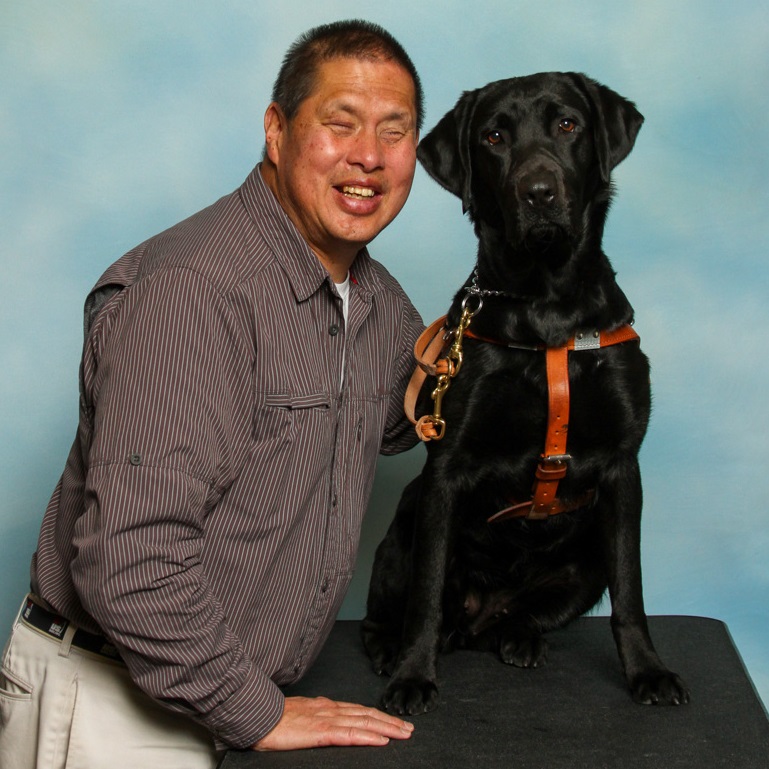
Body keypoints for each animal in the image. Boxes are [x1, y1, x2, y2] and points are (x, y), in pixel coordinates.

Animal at [362, 72, 688, 712]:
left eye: (568, 124)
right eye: (493, 137)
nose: (538, 193)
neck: (547, 304)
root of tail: (476, 616)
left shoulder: (623, 467)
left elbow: (632, 593)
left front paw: (648, 670)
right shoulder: (445, 468)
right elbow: (425, 592)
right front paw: (413, 673)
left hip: (585, 560)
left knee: (527, 612)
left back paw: (519, 636)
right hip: (406, 518)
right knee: (398, 610)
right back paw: (393, 646)